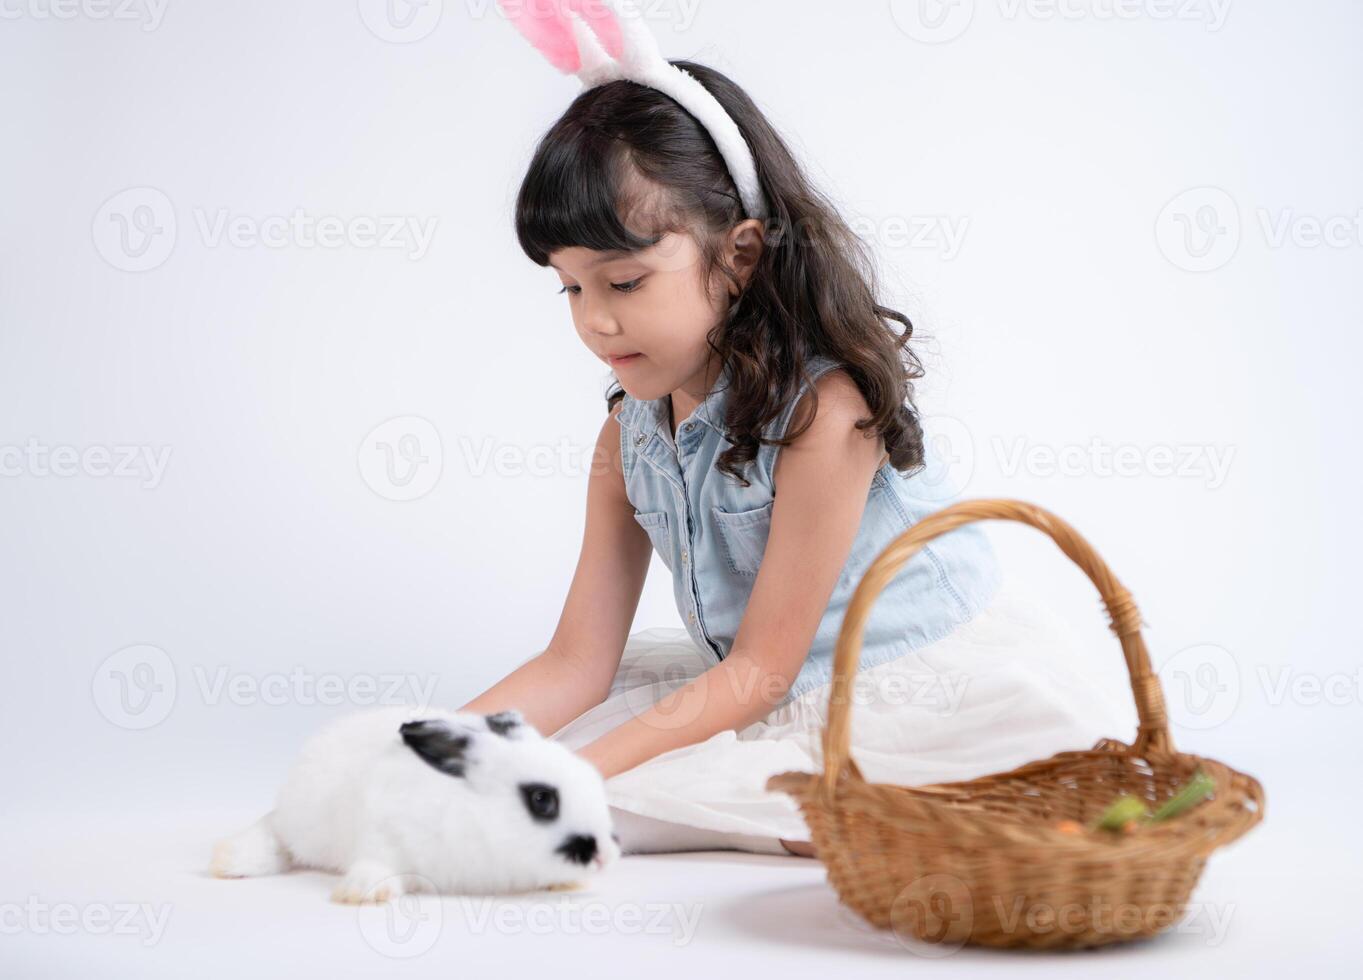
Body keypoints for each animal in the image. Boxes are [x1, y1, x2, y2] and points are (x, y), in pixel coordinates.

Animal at [208, 703, 624, 905]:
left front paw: (567, 883)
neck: (474, 817)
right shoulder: (385, 831)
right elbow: (379, 864)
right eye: (541, 799)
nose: (604, 856)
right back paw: (228, 861)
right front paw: (363, 894)